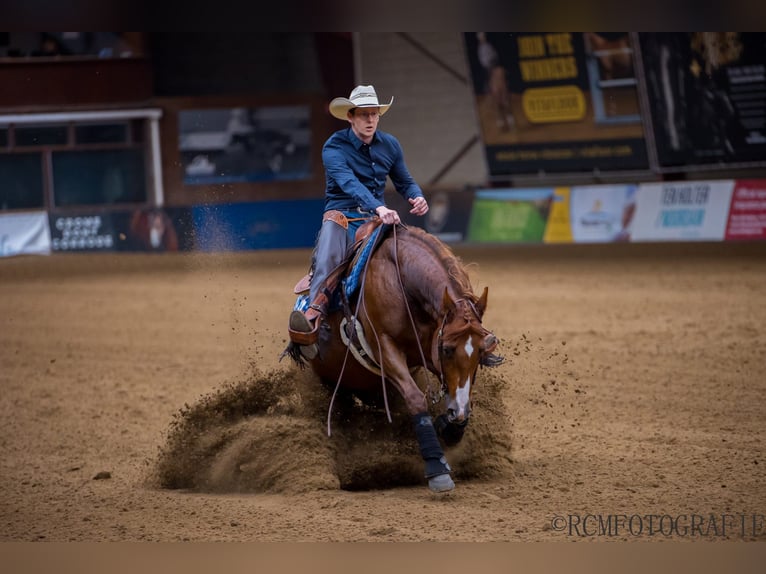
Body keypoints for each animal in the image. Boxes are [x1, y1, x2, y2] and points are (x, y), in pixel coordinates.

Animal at [284, 223, 504, 492]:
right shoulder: (385, 347)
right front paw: (437, 468)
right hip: (330, 383)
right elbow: (416, 398)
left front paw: (450, 425)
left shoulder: (429, 355)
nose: (458, 411)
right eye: (448, 349)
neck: (402, 283)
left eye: (482, 350)